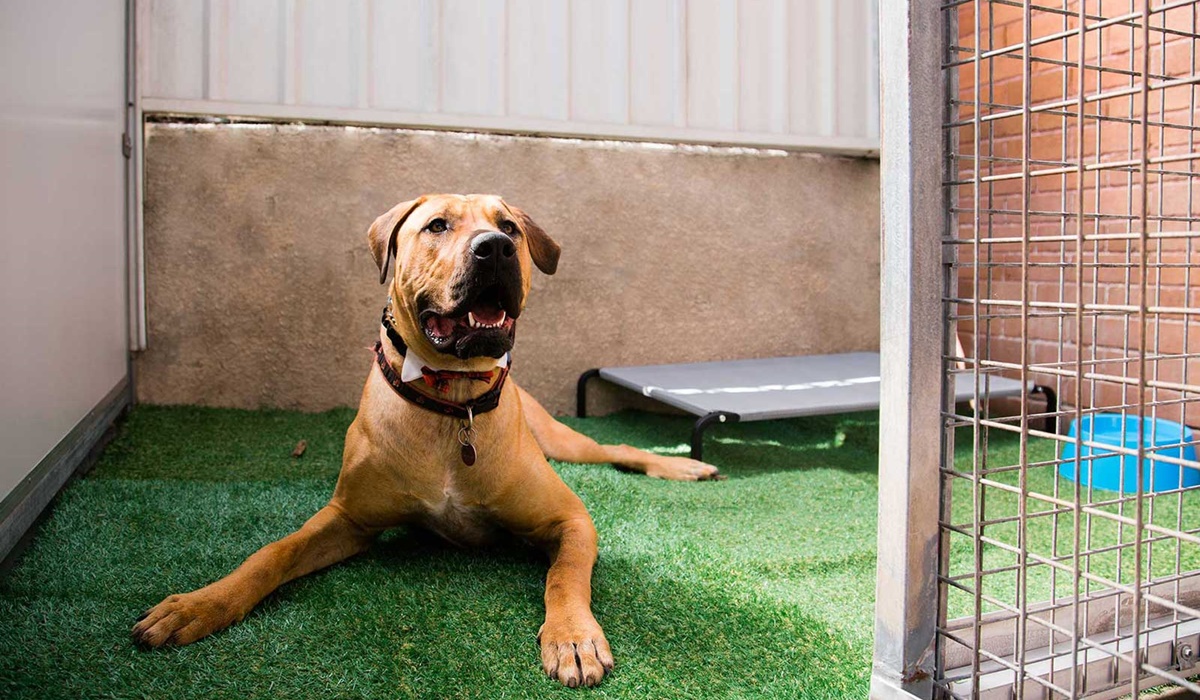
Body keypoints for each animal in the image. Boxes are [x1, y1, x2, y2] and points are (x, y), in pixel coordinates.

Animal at [137, 194, 724, 686]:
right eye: (437, 225)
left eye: (509, 227)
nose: (495, 247)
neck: (452, 400)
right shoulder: (348, 519)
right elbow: (272, 552)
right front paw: (198, 605)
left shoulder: (570, 519)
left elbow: (564, 575)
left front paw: (573, 638)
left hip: (561, 441)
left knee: (613, 450)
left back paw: (685, 466)